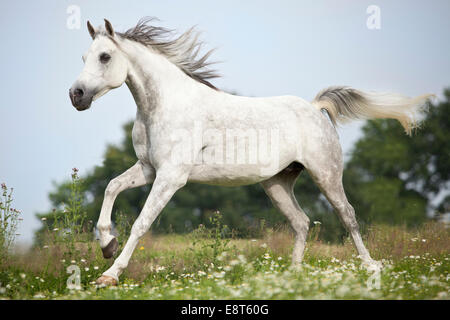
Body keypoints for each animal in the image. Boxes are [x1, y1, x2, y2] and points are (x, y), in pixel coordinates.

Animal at [69, 18, 432, 286]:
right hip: (277, 183)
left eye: (105, 56)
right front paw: (106, 244)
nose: (76, 95)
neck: (163, 105)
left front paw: (109, 274)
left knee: (348, 216)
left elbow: (141, 223)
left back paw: (371, 268)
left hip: (326, 174)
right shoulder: (148, 168)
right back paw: (293, 276)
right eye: (84, 57)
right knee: (301, 222)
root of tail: (315, 108)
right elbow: (112, 187)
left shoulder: (171, 177)